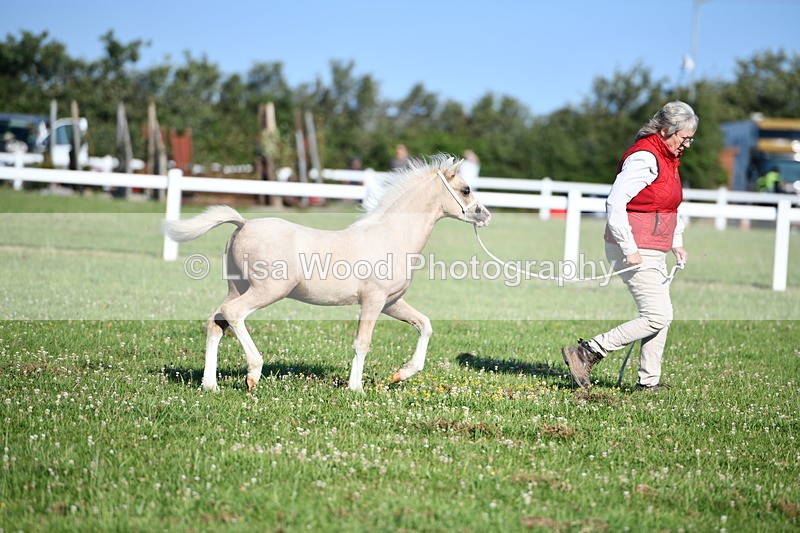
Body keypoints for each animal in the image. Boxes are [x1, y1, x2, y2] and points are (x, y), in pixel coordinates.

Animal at [161, 155, 491, 392]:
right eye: (465, 189)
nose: (485, 216)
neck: (391, 235)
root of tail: (243, 224)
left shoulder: (391, 302)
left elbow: (425, 325)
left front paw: (401, 374)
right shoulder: (373, 300)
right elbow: (362, 342)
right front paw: (356, 388)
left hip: (238, 287)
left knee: (215, 322)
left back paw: (210, 385)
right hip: (267, 291)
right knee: (233, 314)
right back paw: (253, 373)